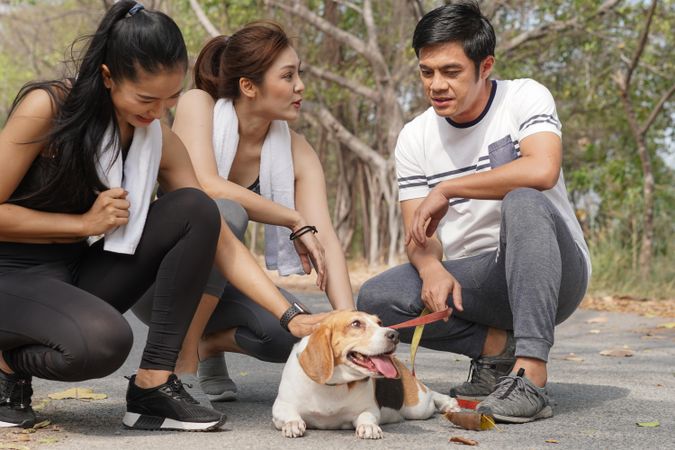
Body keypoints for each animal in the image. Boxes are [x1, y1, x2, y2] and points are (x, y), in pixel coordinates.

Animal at [270, 312, 460, 438]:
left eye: (379, 322)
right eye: (356, 324)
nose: (395, 335)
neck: (334, 384)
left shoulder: (369, 409)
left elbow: (366, 416)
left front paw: (369, 427)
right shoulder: (280, 406)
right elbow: (288, 413)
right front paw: (293, 423)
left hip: (419, 407)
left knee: (432, 394)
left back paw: (449, 403)